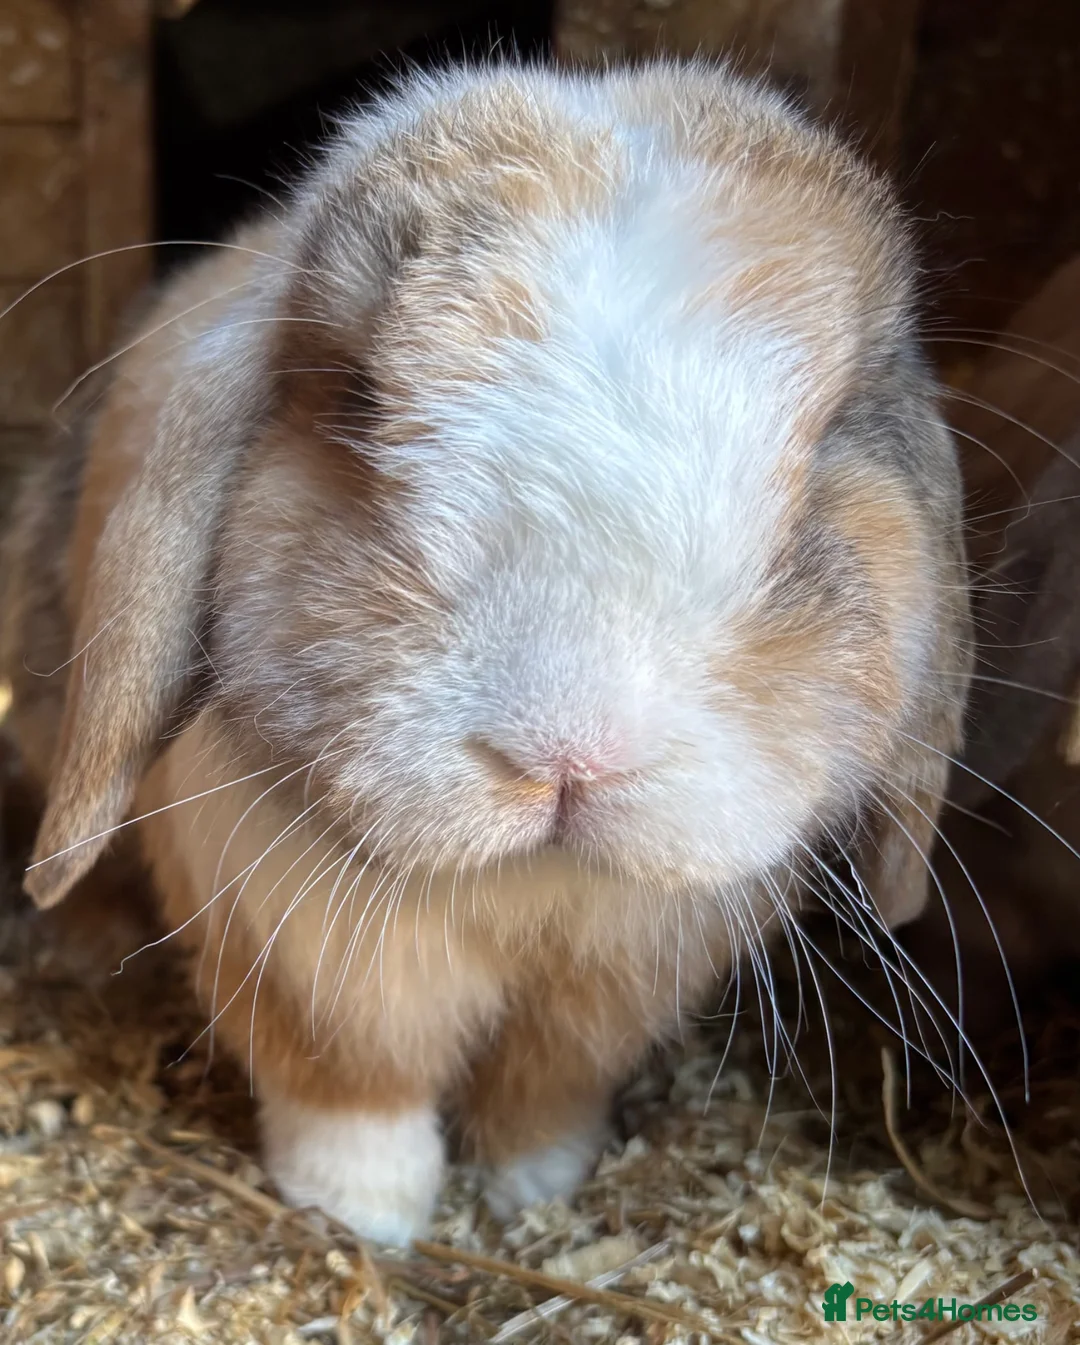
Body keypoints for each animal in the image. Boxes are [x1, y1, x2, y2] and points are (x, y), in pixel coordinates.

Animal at [0, 61, 971, 1246]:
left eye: (829, 441)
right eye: (359, 399)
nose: (570, 755)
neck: (527, 887)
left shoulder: (607, 994)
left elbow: (544, 1091)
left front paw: (535, 1191)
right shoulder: (308, 959)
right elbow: (350, 1087)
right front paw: (364, 1213)